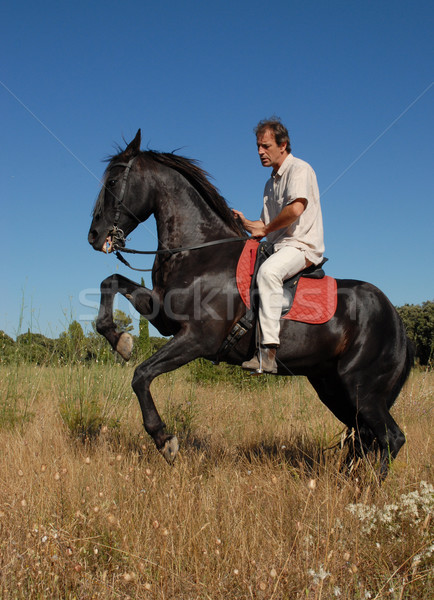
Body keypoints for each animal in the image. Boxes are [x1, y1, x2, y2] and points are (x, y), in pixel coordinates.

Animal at [88, 130, 414, 478]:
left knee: (390, 437)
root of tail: (396, 320)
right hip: (331, 385)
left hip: (362, 387)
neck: (199, 251)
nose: (93, 235)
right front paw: (119, 340)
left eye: (113, 181)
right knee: (362, 436)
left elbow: (141, 375)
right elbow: (110, 282)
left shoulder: (197, 339)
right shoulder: (164, 317)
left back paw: (368, 488)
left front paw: (165, 440)